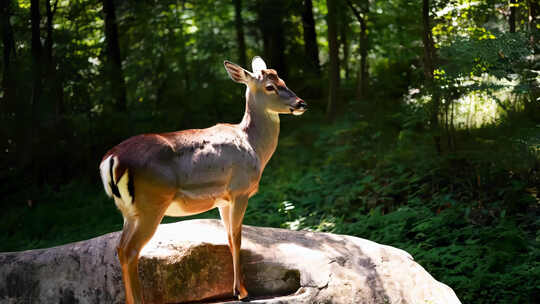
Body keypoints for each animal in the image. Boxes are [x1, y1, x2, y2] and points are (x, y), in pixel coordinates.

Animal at [98, 57, 306, 304]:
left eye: (283, 80)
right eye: (270, 86)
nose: (301, 103)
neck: (254, 146)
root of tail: (111, 159)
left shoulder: (223, 199)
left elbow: (228, 237)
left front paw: (236, 289)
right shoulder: (240, 190)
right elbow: (237, 237)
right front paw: (243, 293)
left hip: (129, 210)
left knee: (120, 248)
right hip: (152, 202)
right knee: (131, 250)